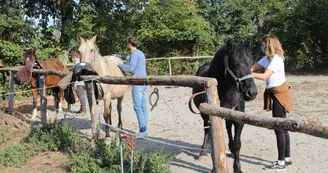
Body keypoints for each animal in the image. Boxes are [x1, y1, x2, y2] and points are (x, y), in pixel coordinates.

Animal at [192, 39, 258, 172]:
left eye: (251, 63)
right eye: (236, 63)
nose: (252, 93)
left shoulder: (238, 119)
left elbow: (237, 143)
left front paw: (237, 168)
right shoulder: (212, 116)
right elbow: (215, 144)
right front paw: (214, 168)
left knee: (228, 128)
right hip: (204, 115)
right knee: (206, 130)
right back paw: (203, 152)